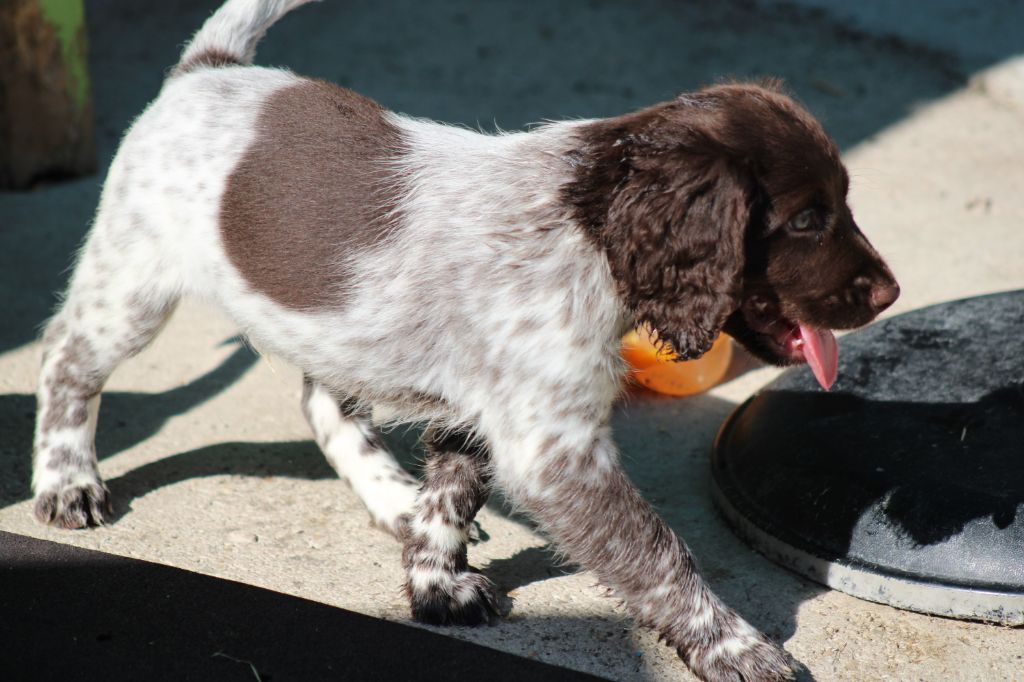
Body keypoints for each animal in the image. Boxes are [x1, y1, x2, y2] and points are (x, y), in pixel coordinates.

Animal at [32, 2, 897, 675]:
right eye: (807, 219)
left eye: (844, 202)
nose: (891, 292)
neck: (583, 226)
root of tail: (206, 69)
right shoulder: (554, 450)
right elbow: (659, 553)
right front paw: (735, 648)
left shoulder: (484, 411)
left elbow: (454, 493)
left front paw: (435, 582)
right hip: (132, 284)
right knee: (66, 363)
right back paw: (67, 480)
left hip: (343, 331)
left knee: (322, 399)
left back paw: (390, 496)